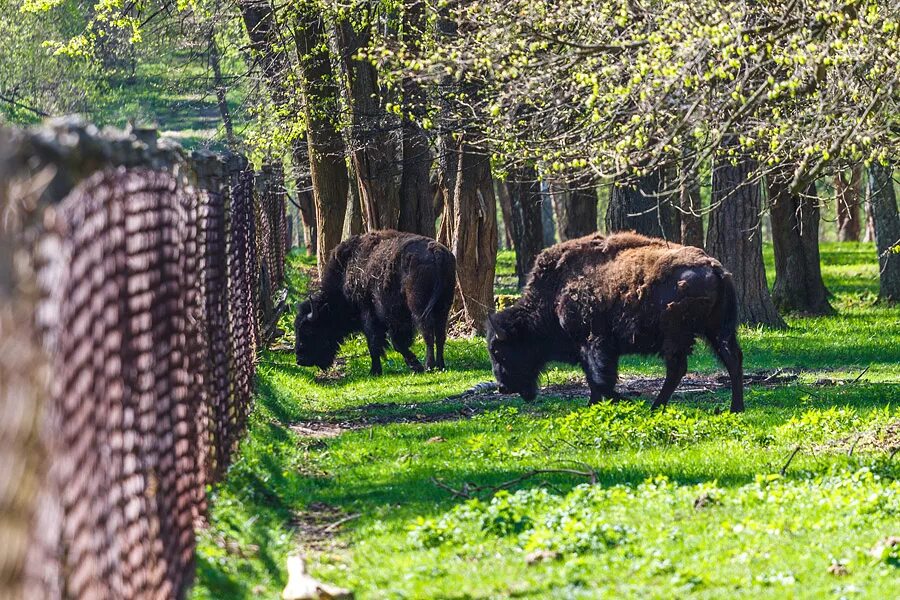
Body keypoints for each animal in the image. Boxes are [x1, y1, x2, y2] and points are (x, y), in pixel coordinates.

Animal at [298, 230, 458, 376]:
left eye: (309, 331)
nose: (300, 360)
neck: (345, 273)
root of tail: (435, 251)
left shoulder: (370, 315)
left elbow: (377, 343)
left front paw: (376, 371)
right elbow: (396, 343)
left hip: (420, 308)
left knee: (428, 333)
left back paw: (429, 366)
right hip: (443, 307)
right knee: (440, 335)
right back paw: (440, 365)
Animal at [486, 233, 744, 412]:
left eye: (498, 351)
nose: (502, 387)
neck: (555, 292)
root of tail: (715, 268)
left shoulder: (594, 342)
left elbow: (600, 379)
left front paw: (622, 400)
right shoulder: (591, 348)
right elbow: (594, 379)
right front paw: (596, 404)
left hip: (677, 335)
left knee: (677, 368)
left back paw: (655, 407)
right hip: (717, 331)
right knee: (732, 360)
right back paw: (735, 408)